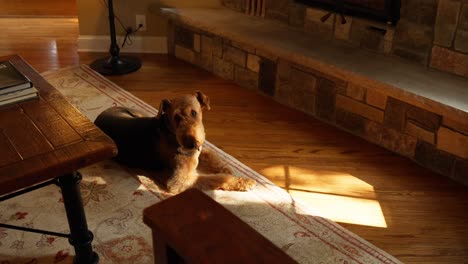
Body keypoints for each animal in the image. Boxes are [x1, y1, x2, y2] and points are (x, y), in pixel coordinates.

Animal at [94, 91, 256, 194]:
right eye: (176, 117)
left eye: (194, 113)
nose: (191, 144)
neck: (171, 133)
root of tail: (98, 117)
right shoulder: (180, 181)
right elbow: (217, 179)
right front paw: (244, 182)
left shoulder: (200, 149)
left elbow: (213, 156)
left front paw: (226, 169)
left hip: (140, 114)